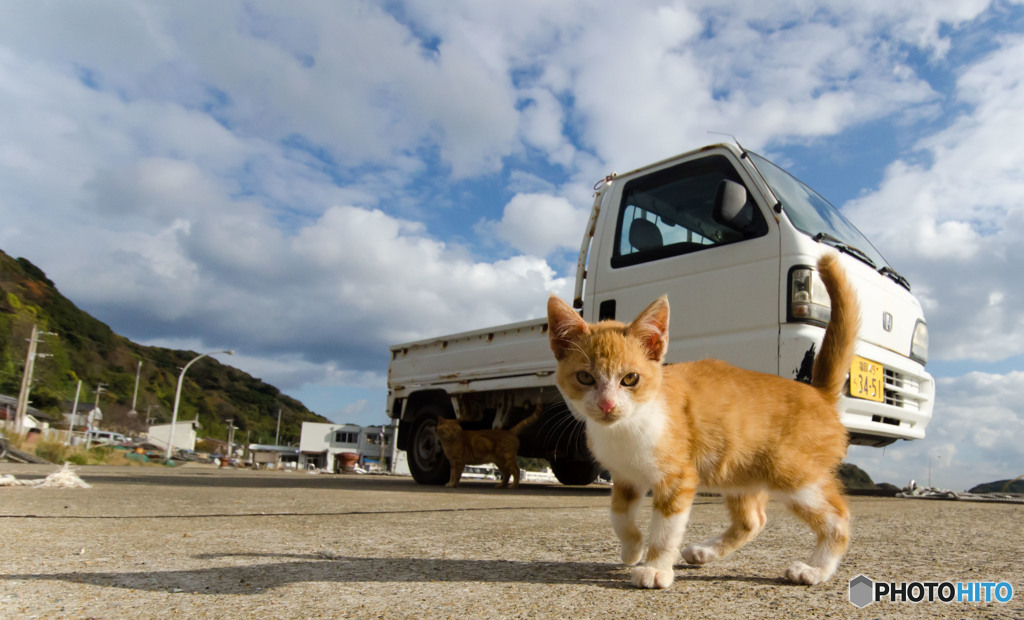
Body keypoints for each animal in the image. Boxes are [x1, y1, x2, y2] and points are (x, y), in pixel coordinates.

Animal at [548, 253, 860, 590]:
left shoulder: (678, 477)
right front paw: (632, 547)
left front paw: (655, 566)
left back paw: (815, 569)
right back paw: (705, 552)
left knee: (838, 516)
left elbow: (666, 528)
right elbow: (618, 514)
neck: (627, 428)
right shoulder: (625, 476)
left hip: (793, 473)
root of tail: (819, 393)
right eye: (585, 377)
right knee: (753, 520)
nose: (607, 404)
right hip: (739, 470)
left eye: (630, 379)